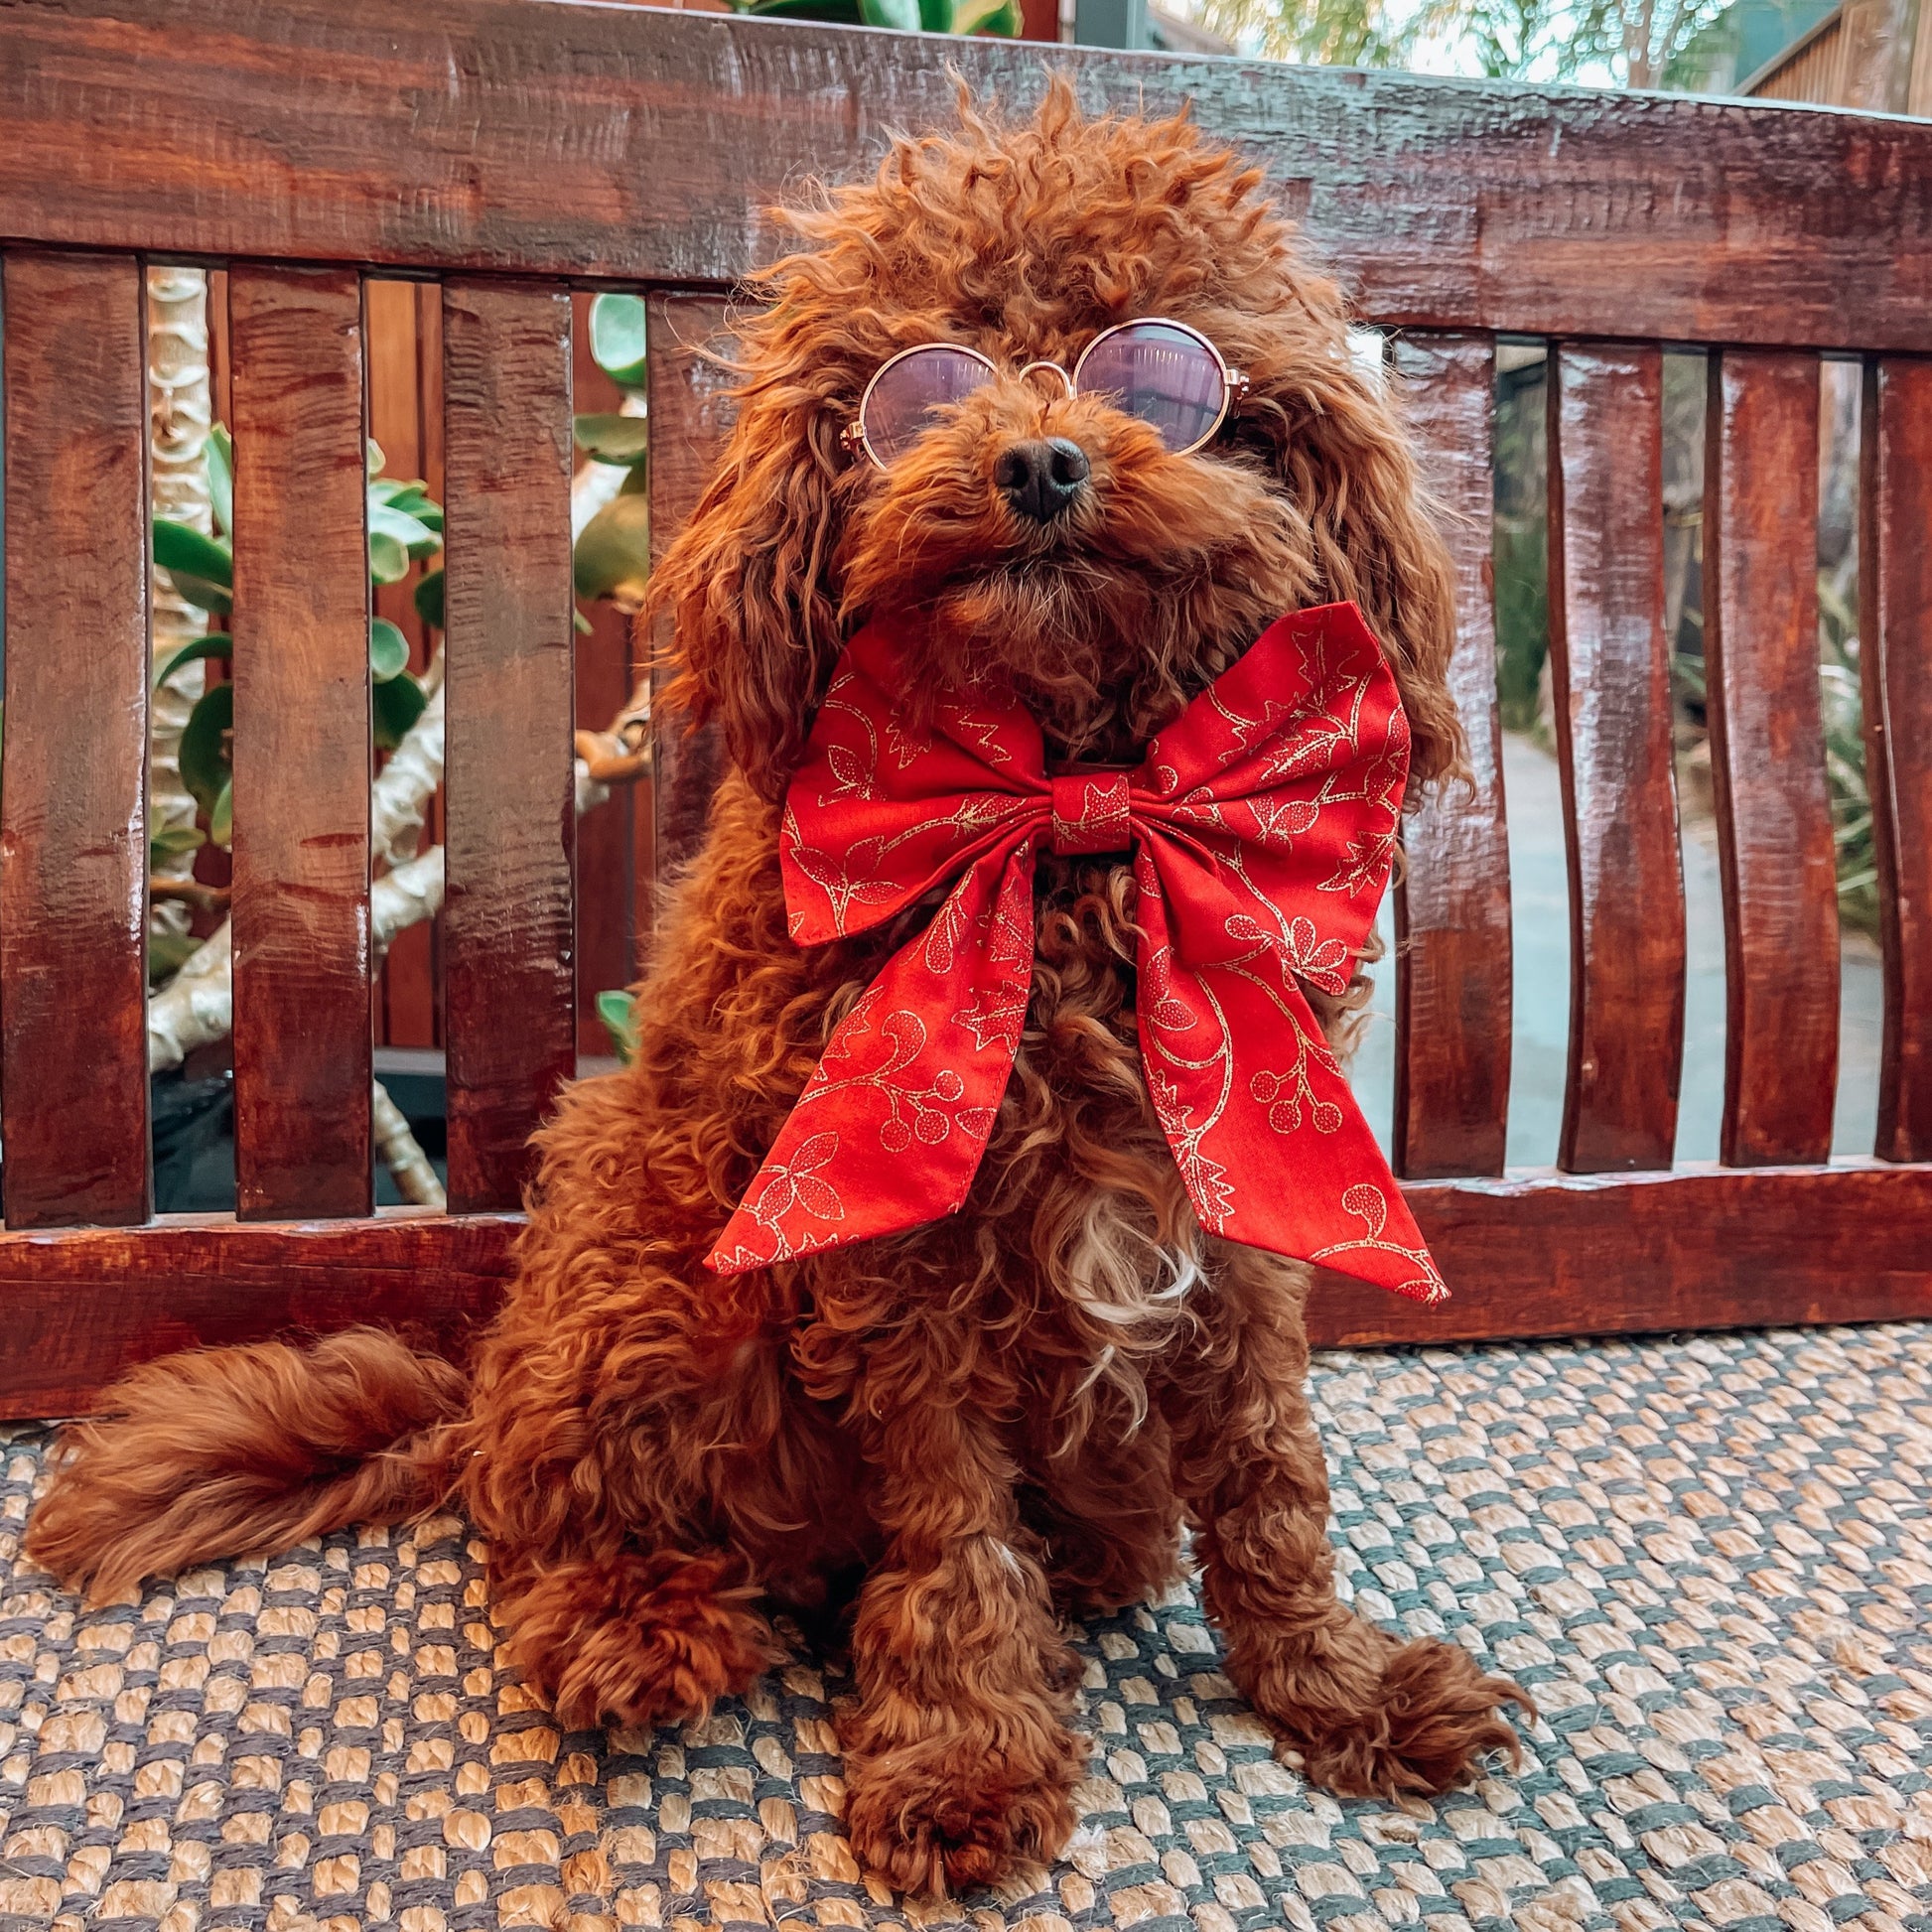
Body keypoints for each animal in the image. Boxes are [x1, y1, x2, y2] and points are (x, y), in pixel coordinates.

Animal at [30, 82, 1530, 1893]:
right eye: (918, 389)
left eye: (1157, 372)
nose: (1038, 458)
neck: (1063, 807)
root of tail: (475, 1397)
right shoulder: (887, 1247)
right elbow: (951, 1530)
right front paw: (964, 1755)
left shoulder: (1240, 1199)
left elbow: (1268, 1477)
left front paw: (1336, 1689)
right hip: (648, 1275)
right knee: (547, 1538)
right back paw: (640, 1629)